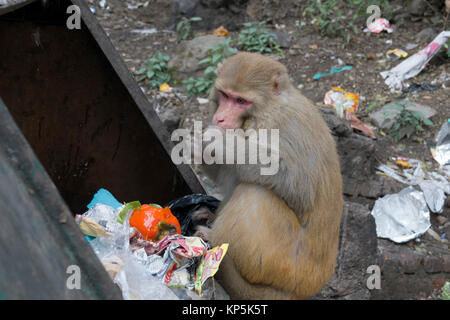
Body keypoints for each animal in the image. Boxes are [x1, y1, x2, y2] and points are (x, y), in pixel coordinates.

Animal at [199, 52, 342, 300]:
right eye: (225, 95)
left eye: (240, 101)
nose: (220, 119)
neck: (267, 108)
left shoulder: (279, 125)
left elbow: (298, 184)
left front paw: (223, 142)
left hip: (283, 267)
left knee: (256, 192)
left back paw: (214, 240)